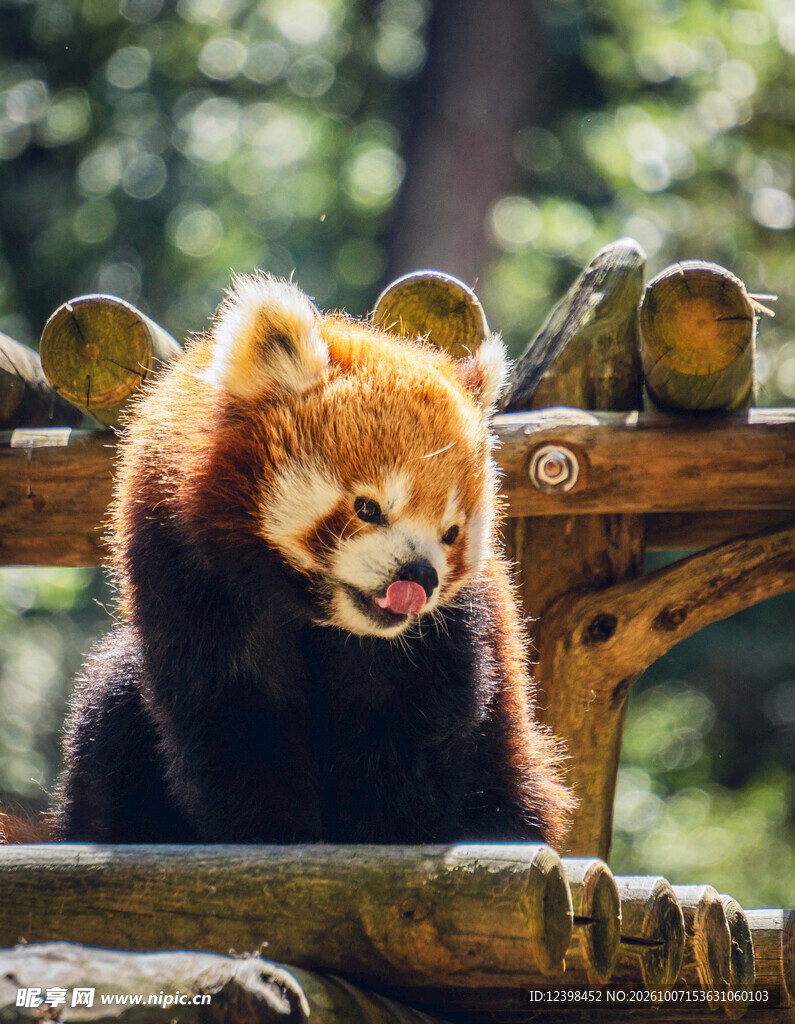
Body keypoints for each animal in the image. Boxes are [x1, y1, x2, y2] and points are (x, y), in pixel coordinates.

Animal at [52, 273, 575, 846]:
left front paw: (384, 833)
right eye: (368, 508)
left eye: (451, 533)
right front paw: (269, 833)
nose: (419, 576)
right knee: (111, 698)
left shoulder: (444, 640)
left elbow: (405, 727)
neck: (312, 609)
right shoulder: (190, 574)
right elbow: (232, 716)